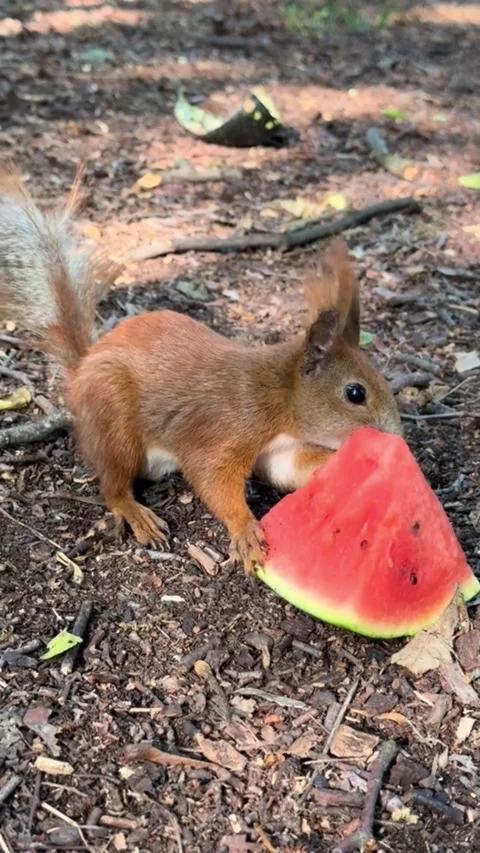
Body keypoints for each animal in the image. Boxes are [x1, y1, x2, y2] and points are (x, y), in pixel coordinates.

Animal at [0, 168, 402, 574]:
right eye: (355, 393)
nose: (396, 437)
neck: (277, 398)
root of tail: (82, 368)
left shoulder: (277, 451)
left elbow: (292, 468)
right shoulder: (225, 428)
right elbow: (212, 477)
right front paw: (245, 529)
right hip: (113, 420)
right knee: (112, 482)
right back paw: (135, 512)